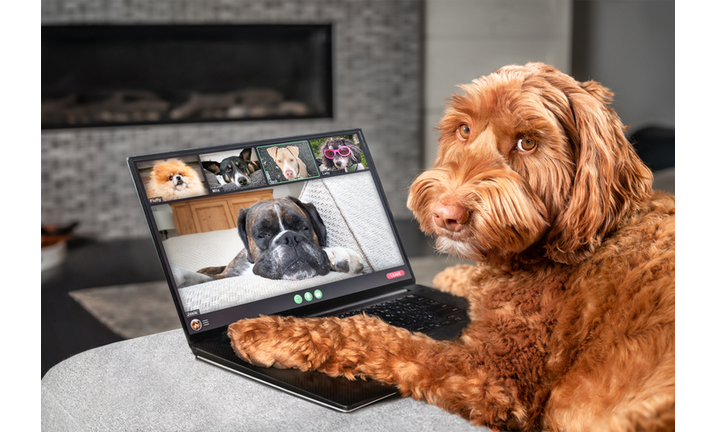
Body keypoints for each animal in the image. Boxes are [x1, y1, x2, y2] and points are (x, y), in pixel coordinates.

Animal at [227, 63, 676, 432]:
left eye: (527, 142)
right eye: (464, 129)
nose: (447, 213)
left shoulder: (491, 376)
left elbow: (376, 334)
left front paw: (266, 330)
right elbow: (470, 283)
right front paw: (454, 276)